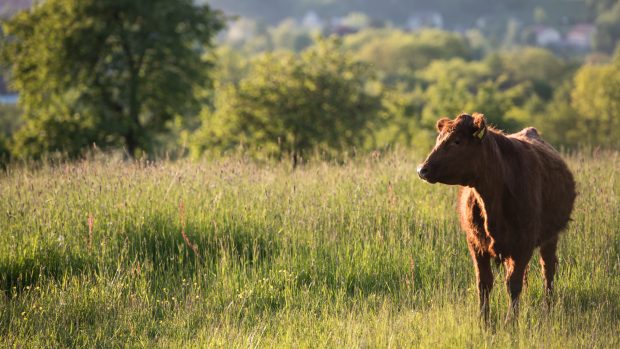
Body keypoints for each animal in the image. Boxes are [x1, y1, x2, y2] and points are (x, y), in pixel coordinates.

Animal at [416, 112, 576, 320]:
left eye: (457, 141)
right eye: (439, 139)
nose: (422, 169)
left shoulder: (524, 244)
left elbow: (513, 284)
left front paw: (511, 321)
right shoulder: (476, 244)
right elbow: (484, 283)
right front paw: (483, 320)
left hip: (550, 237)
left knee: (547, 269)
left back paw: (547, 307)